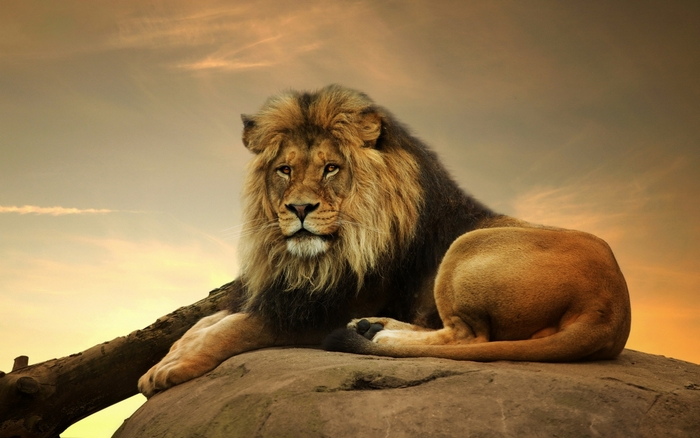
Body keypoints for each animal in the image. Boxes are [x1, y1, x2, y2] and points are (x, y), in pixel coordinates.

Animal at [138, 85, 631, 398]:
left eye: (330, 169)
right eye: (284, 170)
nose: (299, 209)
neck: (315, 260)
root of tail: (612, 308)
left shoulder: (319, 312)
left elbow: (235, 328)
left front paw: (173, 368)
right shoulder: (285, 294)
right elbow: (205, 323)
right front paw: (165, 360)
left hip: (466, 249)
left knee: (467, 336)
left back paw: (375, 334)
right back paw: (374, 328)